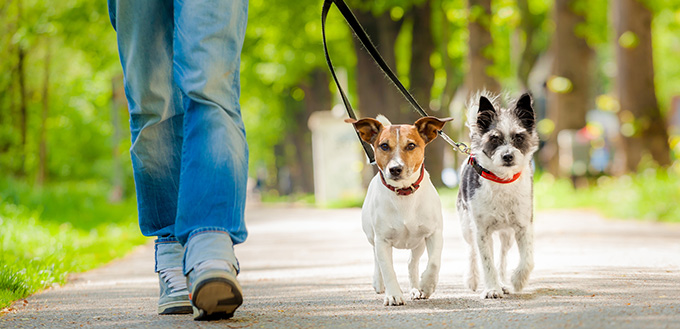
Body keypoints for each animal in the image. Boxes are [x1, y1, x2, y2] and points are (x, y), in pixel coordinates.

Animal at [346, 115, 452, 304]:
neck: (404, 193)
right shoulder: (382, 240)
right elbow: (388, 269)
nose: (395, 169)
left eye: (411, 145)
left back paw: (415, 289)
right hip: (372, 237)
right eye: (384, 146)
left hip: (418, 243)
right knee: (377, 260)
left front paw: (426, 285)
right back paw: (379, 283)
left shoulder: (434, 234)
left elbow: (433, 262)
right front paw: (393, 294)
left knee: (412, 263)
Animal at [460, 91, 540, 298]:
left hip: (507, 235)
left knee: (502, 257)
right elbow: (487, 262)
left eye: (519, 137)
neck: (502, 181)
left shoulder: (523, 226)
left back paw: (503, 282)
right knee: (472, 251)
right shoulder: (481, 231)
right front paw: (491, 289)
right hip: (466, 226)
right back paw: (473, 279)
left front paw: (517, 281)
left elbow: (528, 260)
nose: (507, 156)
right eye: (494, 138)